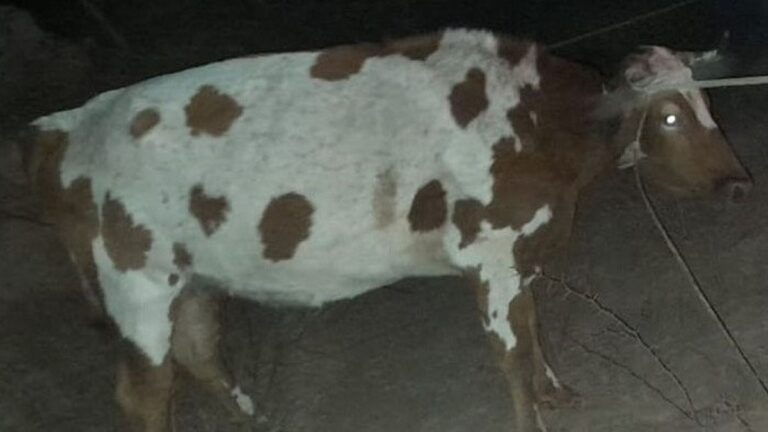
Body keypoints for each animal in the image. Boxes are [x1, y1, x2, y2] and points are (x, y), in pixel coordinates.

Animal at [20, 28, 750, 431]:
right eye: (669, 118)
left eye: (705, 104)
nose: (738, 184)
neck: (542, 125)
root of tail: (66, 125)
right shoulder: (490, 252)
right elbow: (511, 350)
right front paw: (533, 412)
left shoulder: (518, 254)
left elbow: (533, 323)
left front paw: (556, 390)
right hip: (138, 286)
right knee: (144, 393)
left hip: (193, 282)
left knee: (199, 353)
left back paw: (256, 421)